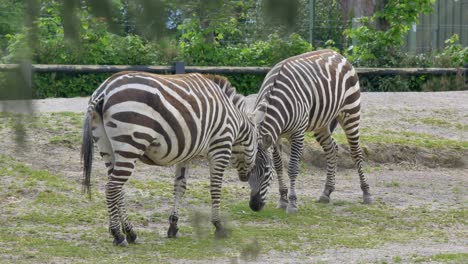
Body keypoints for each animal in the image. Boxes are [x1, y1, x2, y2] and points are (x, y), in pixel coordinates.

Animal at [80, 71, 256, 245]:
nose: (246, 177)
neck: (236, 120)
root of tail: (104, 89)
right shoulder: (221, 148)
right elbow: (215, 188)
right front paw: (219, 226)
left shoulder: (187, 154)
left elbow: (180, 187)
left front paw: (173, 226)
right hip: (131, 143)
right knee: (112, 188)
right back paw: (118, 235)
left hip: (106, 146)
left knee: (118, 189)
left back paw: (130, 233)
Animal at [249, 49, 372, 213]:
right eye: (245, 172)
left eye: (266, 172)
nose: (254, 206)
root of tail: (336, 53)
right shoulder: (275, 136)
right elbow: (279, 165)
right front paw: (282, 199)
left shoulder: (298, 133)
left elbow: (292, 167)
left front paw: (292, 203)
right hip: (321, 123)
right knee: (331, 148)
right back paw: (326, 192)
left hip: (351, 111)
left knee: (356, 152)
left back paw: (366, 193)